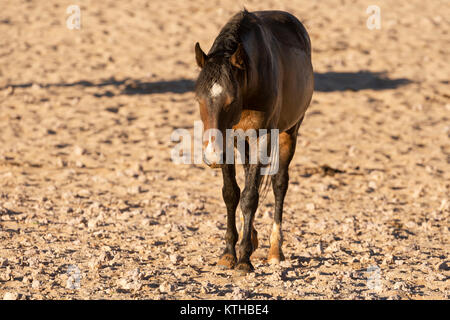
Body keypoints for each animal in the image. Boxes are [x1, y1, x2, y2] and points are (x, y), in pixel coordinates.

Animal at [193, 10, 312, 276]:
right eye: (198, 98)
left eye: (231, 99)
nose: (211, 155)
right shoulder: (228, 141)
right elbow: (231, 193)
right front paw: (228, 254)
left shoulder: (262, 138)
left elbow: (250, 197)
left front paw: (244, 259)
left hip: (290, 132)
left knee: (279, 184)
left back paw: (275, 250)